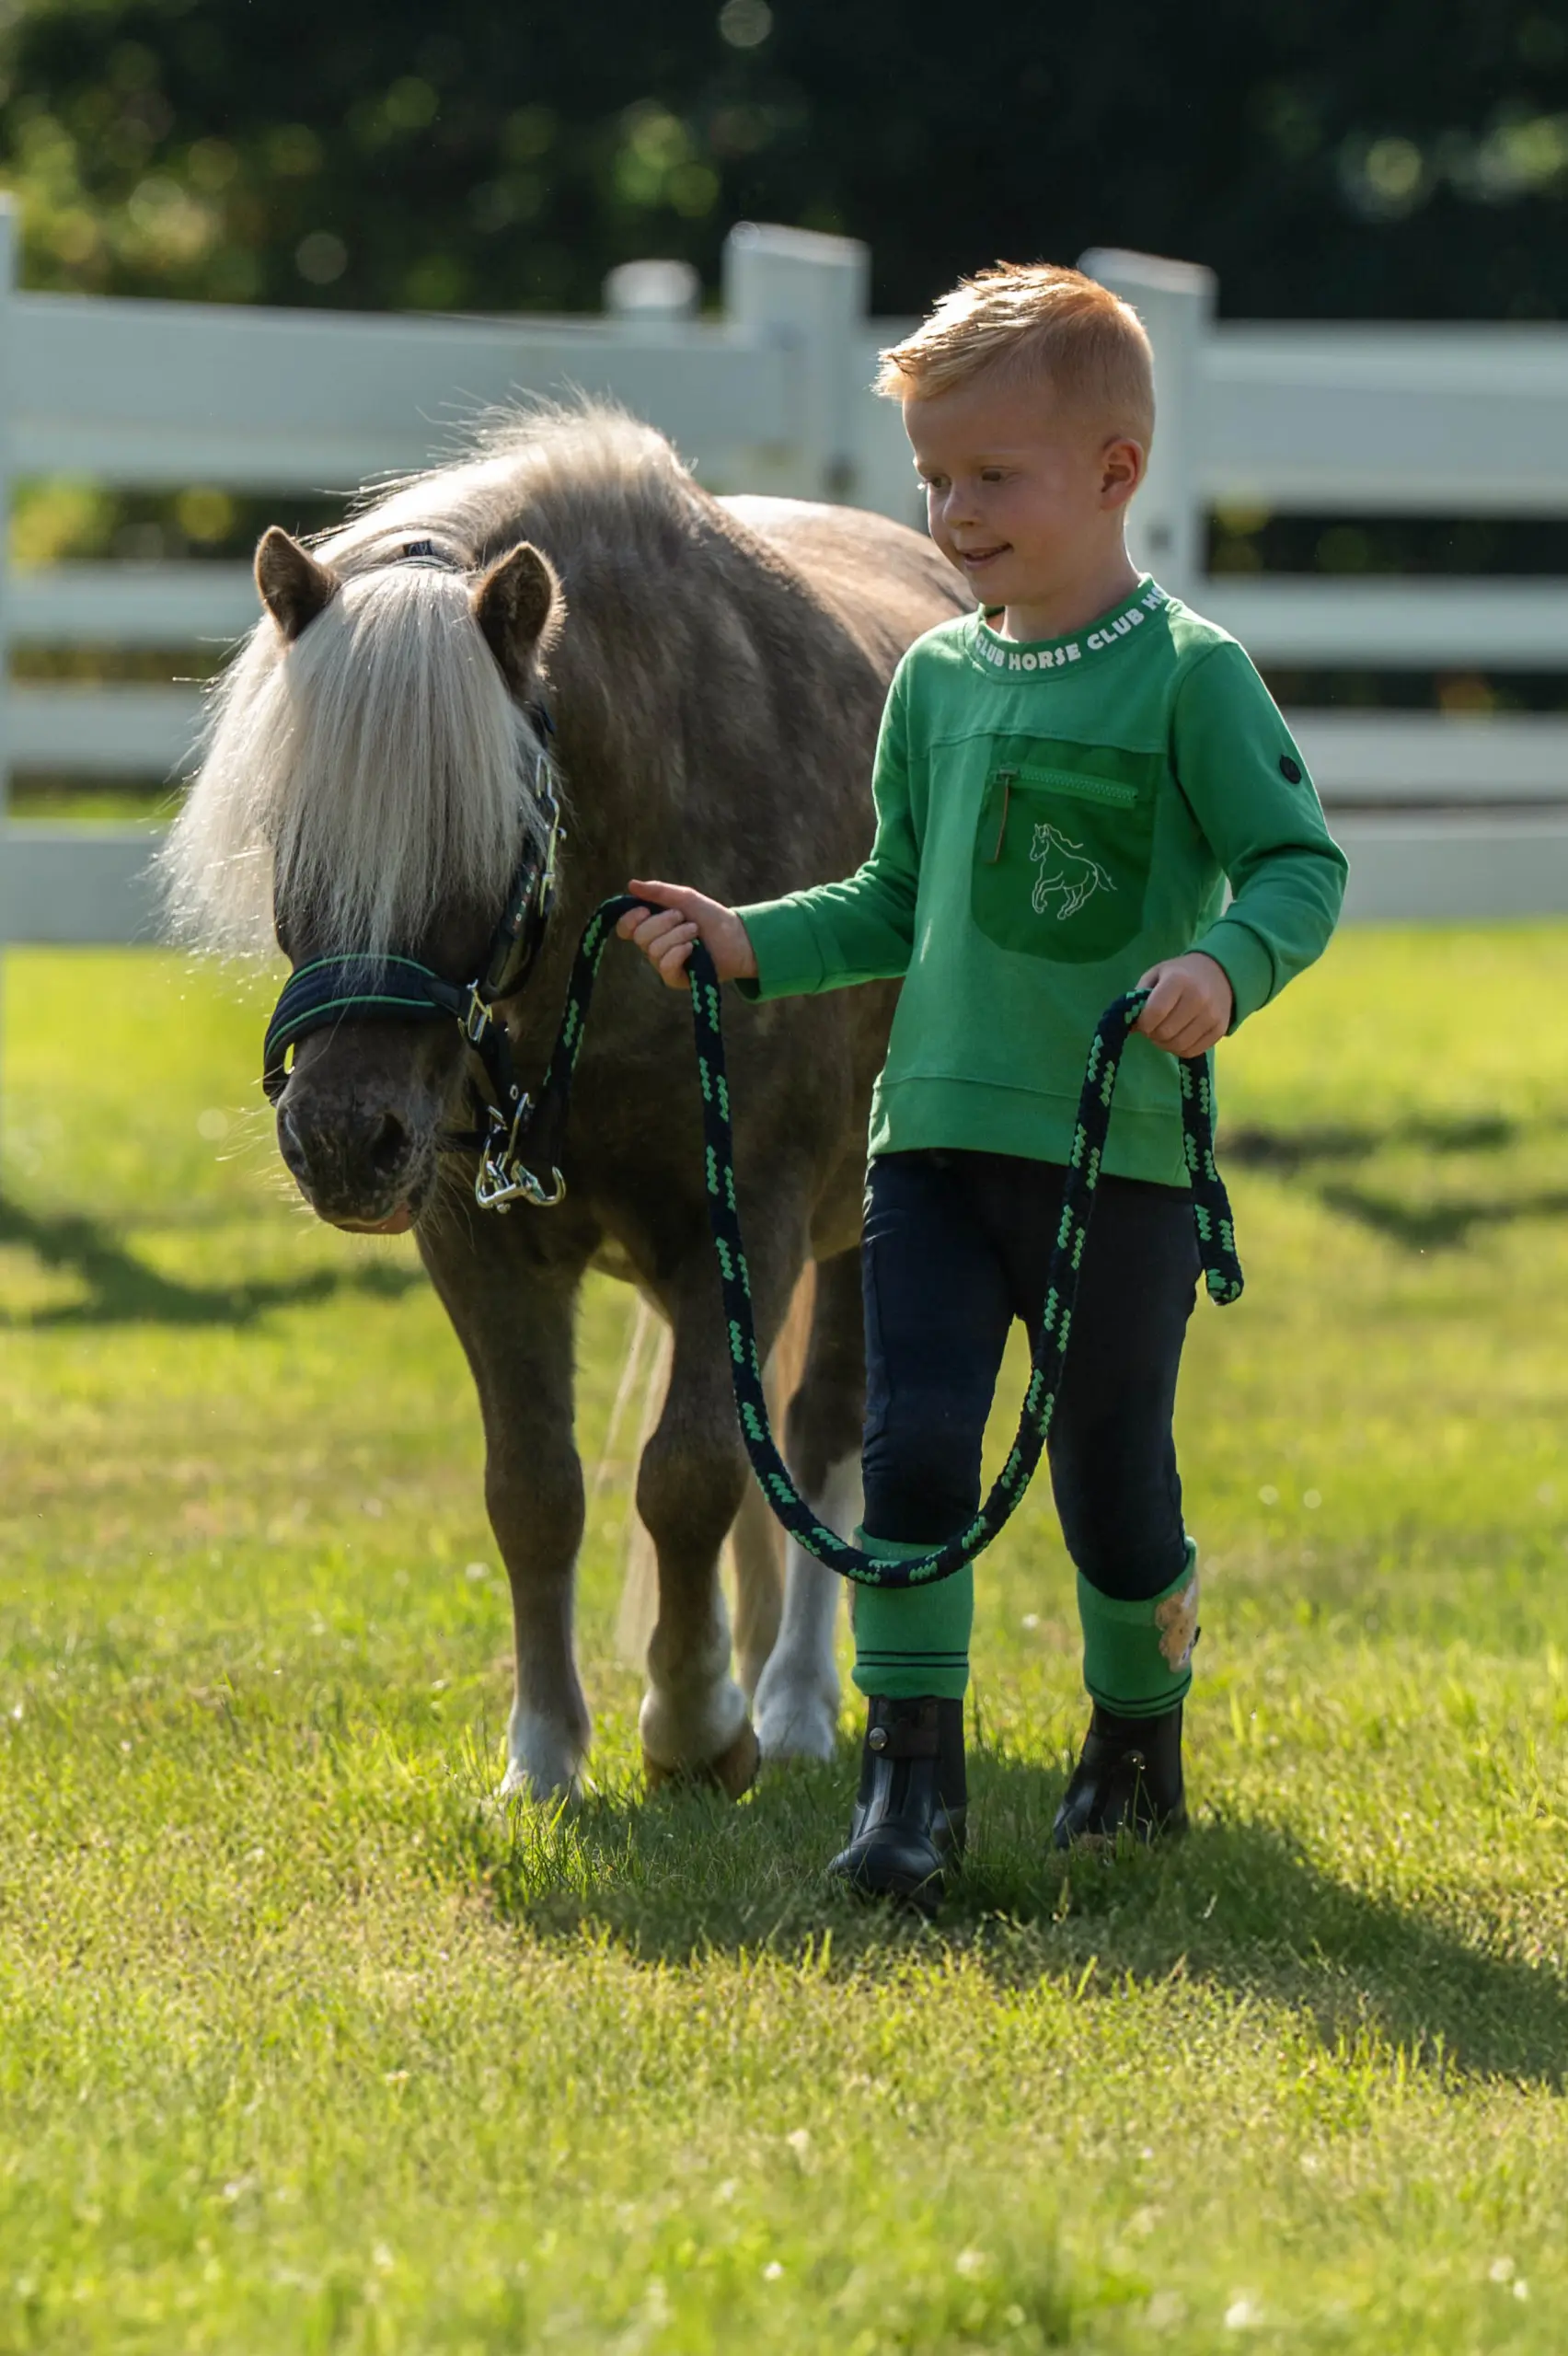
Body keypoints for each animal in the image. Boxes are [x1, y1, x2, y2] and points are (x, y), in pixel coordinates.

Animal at [165, 405, 965, 1801]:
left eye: (486, 838)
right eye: (290, 829)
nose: (342, 1141)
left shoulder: (748, 1221)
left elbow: (689, 1475)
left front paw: (695, 1720)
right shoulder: (476, 1241)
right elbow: (534, 1490)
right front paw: (543, 1753)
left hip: (852, 1232)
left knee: (821, 1437)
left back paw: (796, 1702)